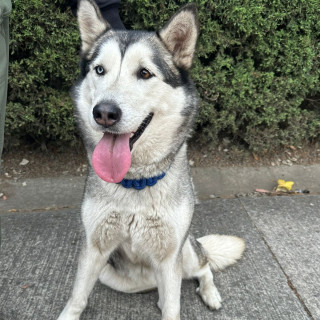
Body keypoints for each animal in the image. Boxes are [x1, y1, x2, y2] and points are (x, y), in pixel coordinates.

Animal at [58, 1, 245, 318]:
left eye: (144, 73)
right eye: (99, 70)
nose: (104, 112)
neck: (136, 181)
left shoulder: (170, 257)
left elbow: (173, 306)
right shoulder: (94, 248)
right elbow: (77, 298)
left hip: (185, 252)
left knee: (203, 266)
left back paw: (210, 293)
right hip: (113, 275)